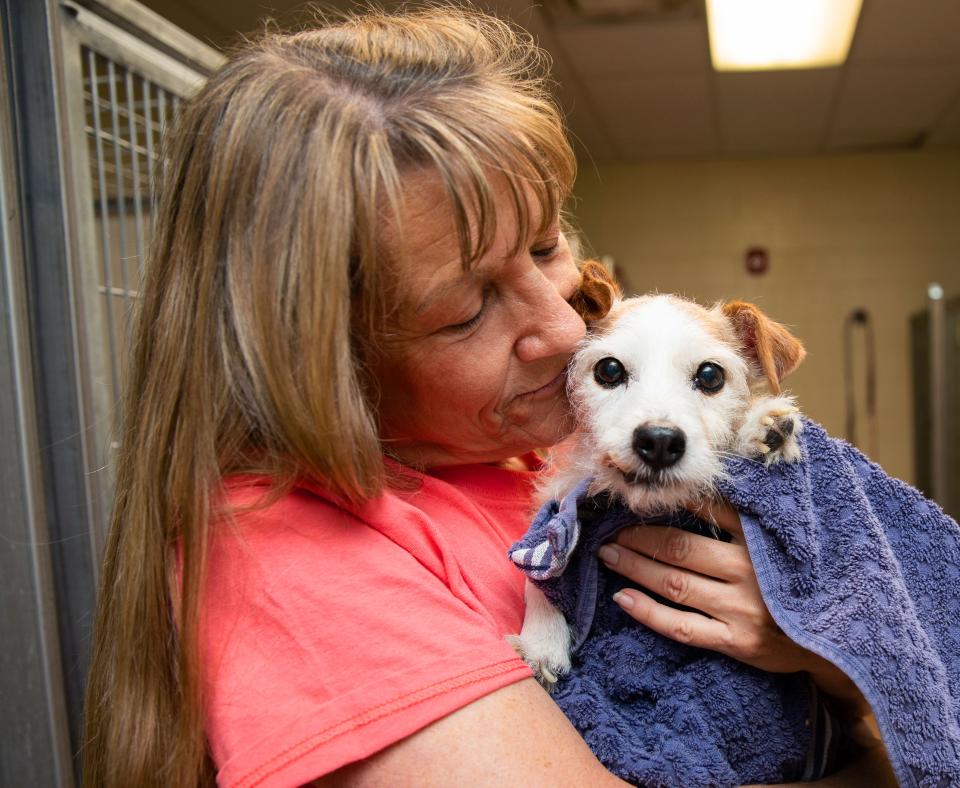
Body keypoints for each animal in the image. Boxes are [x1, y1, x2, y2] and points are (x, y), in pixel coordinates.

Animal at [512, 264, 808, 684]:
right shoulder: (559, 499)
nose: (660, 441)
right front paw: (542, 641)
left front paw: (761, 426)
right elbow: (539, 570)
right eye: (609, 369)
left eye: (710, 376)